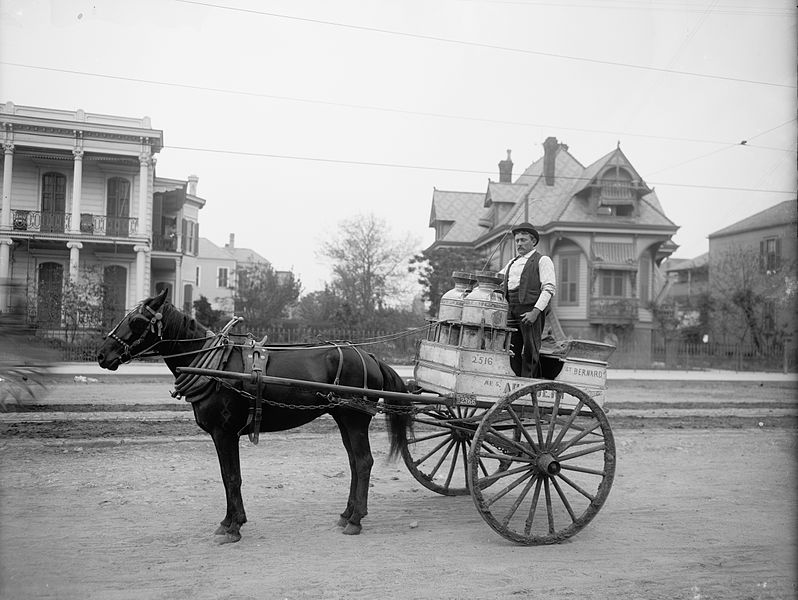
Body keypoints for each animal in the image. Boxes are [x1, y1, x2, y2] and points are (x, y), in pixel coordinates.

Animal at [95, 290, 412, 544]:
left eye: (137, 322)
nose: (101, 354)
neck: (215, 366)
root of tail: (369, 356)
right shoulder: (223, 435)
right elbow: (228, 477)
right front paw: (230, 521)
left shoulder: (224, 433)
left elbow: (231, 477)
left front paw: (232, 526)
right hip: (343, 418)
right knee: (354, 463)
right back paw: (348, 513)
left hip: (354, 419)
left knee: (363, 462)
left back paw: (356, 520)